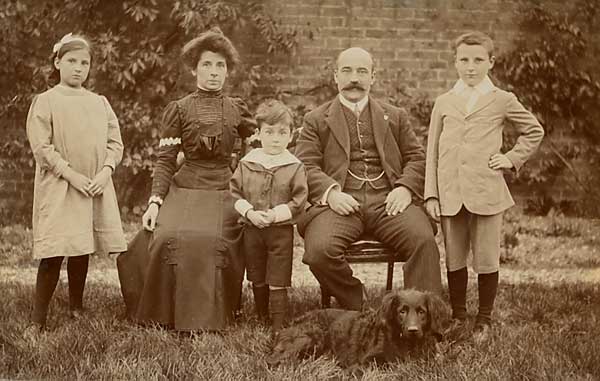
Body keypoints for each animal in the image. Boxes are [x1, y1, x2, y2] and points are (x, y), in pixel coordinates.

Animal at [268, 288, 450, 368]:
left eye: (421, 312)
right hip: (309, 338)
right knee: (274, 359)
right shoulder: (367, 360)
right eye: (402, 311)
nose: (413, 330)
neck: (408, 344)